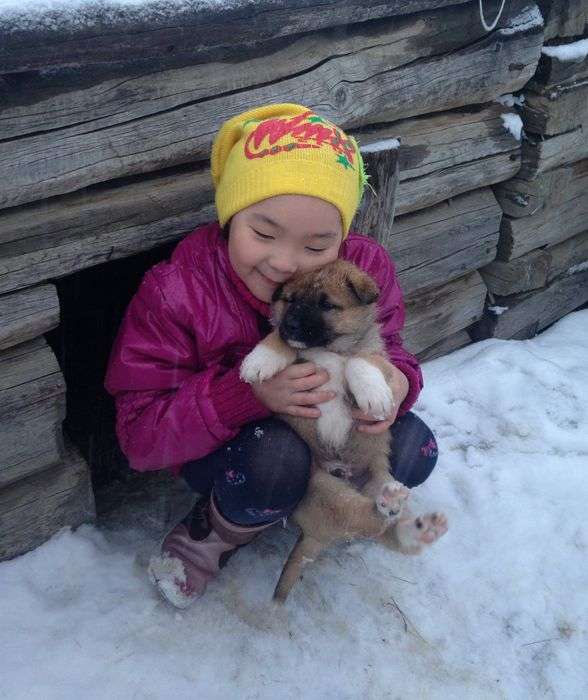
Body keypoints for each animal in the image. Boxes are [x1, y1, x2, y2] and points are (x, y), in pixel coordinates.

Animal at [241, 260, 448, 600]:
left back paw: (414, 524)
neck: (329, 350)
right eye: (290, 300)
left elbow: (360, 361)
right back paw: (408, 520)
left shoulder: (379, 357)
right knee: (368, 521)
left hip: (377, 477)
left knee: (384, 528)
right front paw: (260, 360)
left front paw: (374, 394)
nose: (292, 326)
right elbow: (277, 338)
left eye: (327, 305)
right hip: (324, 491)